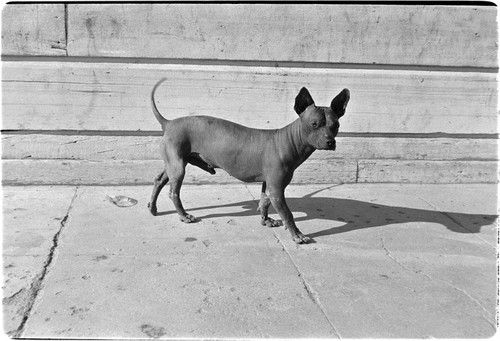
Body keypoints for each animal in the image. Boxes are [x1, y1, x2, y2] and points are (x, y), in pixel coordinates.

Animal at [148, 77, 350, 242]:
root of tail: (169, 123)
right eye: (314, 124)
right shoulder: (277, 189)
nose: (330, 142)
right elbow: (288, 214)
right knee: (173, 192)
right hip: (178, 168)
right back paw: (183, 215)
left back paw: (152, 208)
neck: (287, 141)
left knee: (159, 180)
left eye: (336, 125)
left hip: (174, 163)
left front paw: (265, 220)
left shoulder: (269, 186)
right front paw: (297, 235)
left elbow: (264, 202)